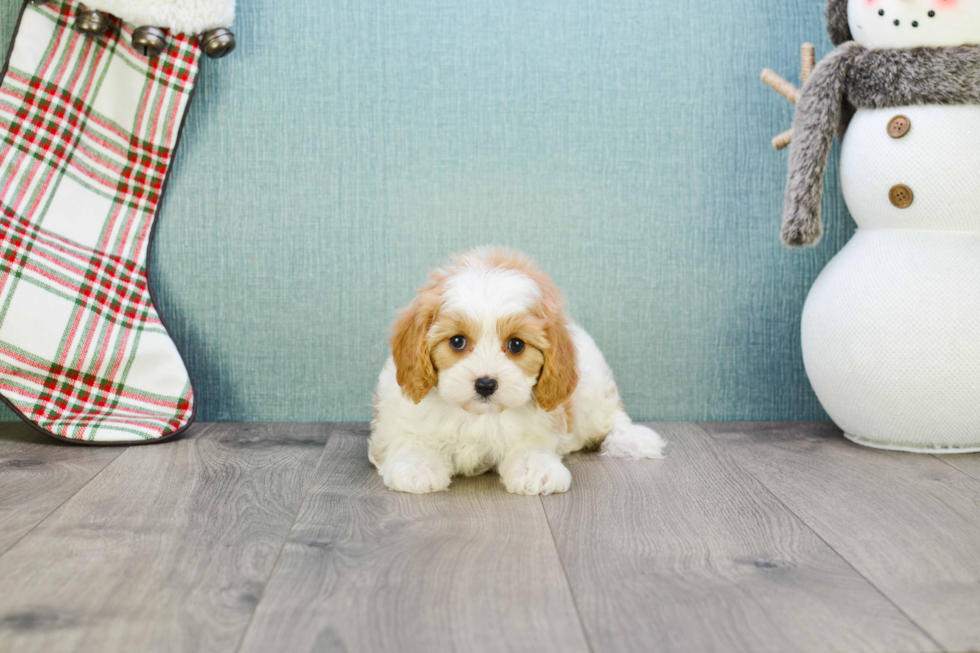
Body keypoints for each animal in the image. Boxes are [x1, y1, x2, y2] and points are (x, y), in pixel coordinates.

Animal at [368, 248, 668, 494]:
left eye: (516, 345)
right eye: (457, 341)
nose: (485, 384)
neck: (478, 415)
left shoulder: (538, 426)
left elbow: (529, 446)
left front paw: (537, 470)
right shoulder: (398, 421)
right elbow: (412, 439)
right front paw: (417, 467)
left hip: (594, 393)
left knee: (611, 418)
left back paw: (633, 438)